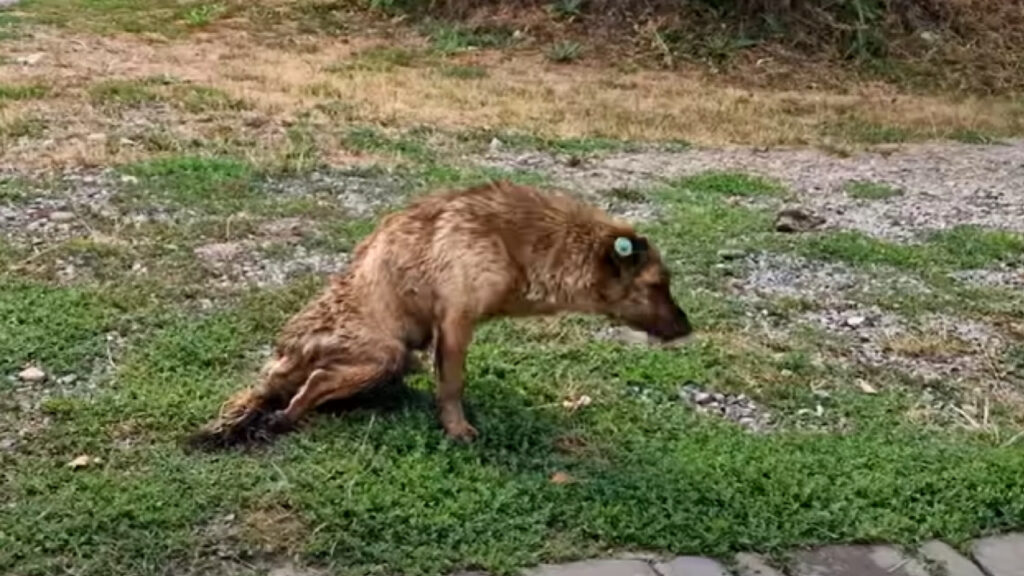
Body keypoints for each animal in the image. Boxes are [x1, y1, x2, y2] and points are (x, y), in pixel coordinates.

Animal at [188, 181, 692, 446]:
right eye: (657, 285)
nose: (689, 329)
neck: (520, 246)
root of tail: (281, 358)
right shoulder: (454, 323)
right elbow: (452, 385)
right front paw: (457, 428)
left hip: (393, 361)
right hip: (386, 355)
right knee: (310, 387)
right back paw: (288, 418)